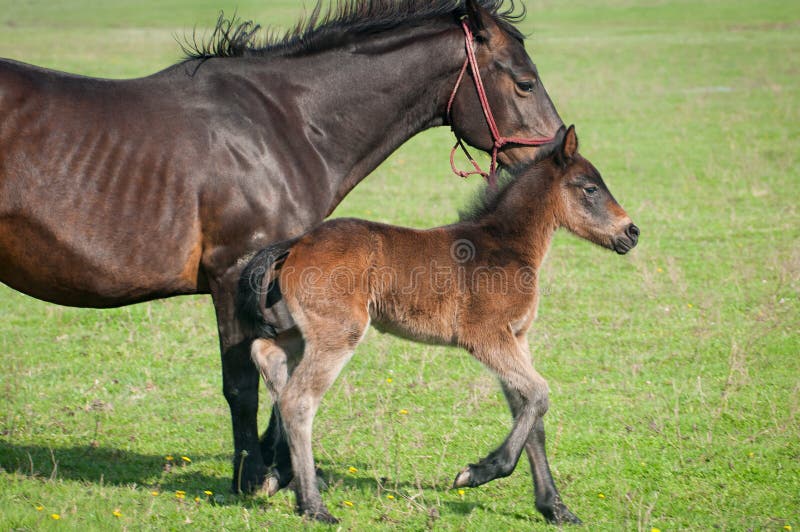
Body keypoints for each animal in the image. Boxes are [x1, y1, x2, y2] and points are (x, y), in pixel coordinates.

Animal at [0, 0, 564, 495]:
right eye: (525, 82)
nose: (558, 152)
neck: (282, 128)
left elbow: (281, 372)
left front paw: (283, 471)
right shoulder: (233, 275)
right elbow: (243, 384)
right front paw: (254, 478)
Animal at [237, 125, 639, 523]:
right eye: (590, 188)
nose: (632, 232)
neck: (506, 245)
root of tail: (296, 243)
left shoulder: (517, 336)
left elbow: (529, 413)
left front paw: (555, 508)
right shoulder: (486, 336)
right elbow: (539, 394)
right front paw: (478, 472)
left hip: (306, 329)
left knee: (267, 354)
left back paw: (283, 479)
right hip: (339, 332)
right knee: (299, 400)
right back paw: (313, 506)